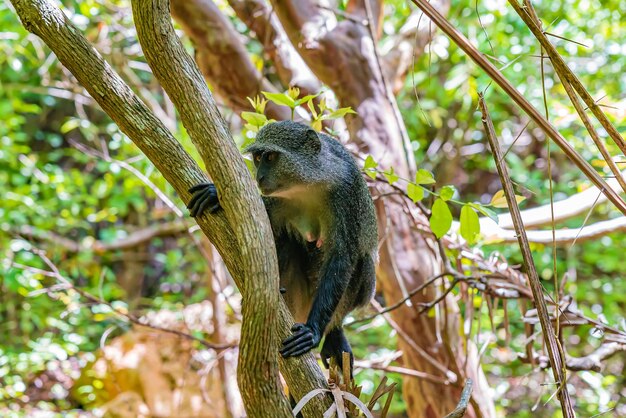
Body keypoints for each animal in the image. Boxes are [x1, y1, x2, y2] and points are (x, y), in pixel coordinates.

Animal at [186, 120, 376, 370]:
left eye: (270, 157)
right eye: (258, 157)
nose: (259, 177)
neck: (309, 183)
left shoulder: (346, 193)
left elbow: (342, 257)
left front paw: (312, 332)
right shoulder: (277, 200)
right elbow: (258, 227)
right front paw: (215, 194)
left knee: (362, 263)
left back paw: (333, 331)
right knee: (286, 240)